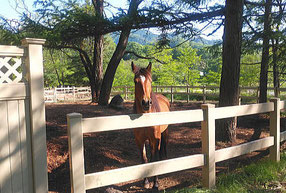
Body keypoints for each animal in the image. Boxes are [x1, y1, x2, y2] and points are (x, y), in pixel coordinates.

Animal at [132, 61, 170, 190]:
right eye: (135, 81)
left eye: (150, 81)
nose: (146, 103)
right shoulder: (139, 141)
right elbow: (144, 159)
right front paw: (146, 182)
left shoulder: (155, 139)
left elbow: (154, 159)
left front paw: (156, 183)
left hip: (164, 133)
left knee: (162, 148)